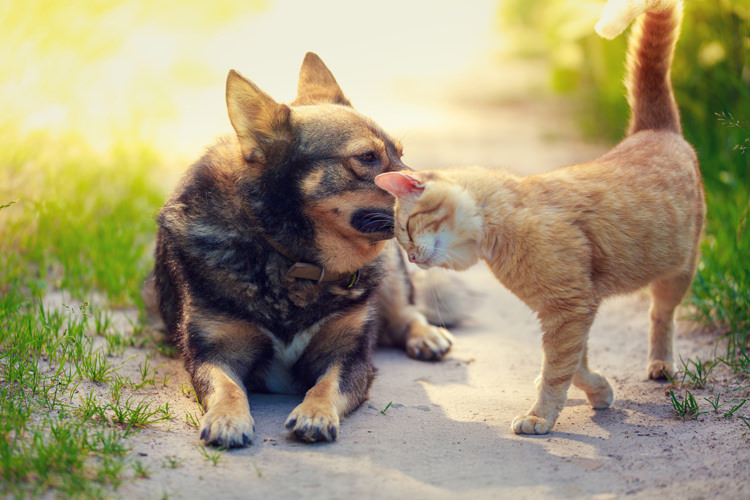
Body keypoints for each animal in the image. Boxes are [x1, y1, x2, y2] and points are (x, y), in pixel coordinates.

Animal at [143, 52, 456, 448]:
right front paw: (228, 417)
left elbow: (327, 385)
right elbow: (227, 386)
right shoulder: (212, 353)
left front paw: (315, 413)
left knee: (406, 313)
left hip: (390, 271)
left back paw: (427, 335)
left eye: (400, 154)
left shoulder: (350, 357)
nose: (448, 191)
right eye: (367, 157)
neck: (291, 257)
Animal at [374, 0, 704, 434]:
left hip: (678, 272)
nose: (411, 258)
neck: (500, 224)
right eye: (402, 242)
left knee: (661, 315)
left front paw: (540, 415)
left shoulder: (568, 309)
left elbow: (559, 369)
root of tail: (653, 129)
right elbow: (573, 364)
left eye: (408, 230)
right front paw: (599, 390)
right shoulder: (572, 310)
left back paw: (661, 364)